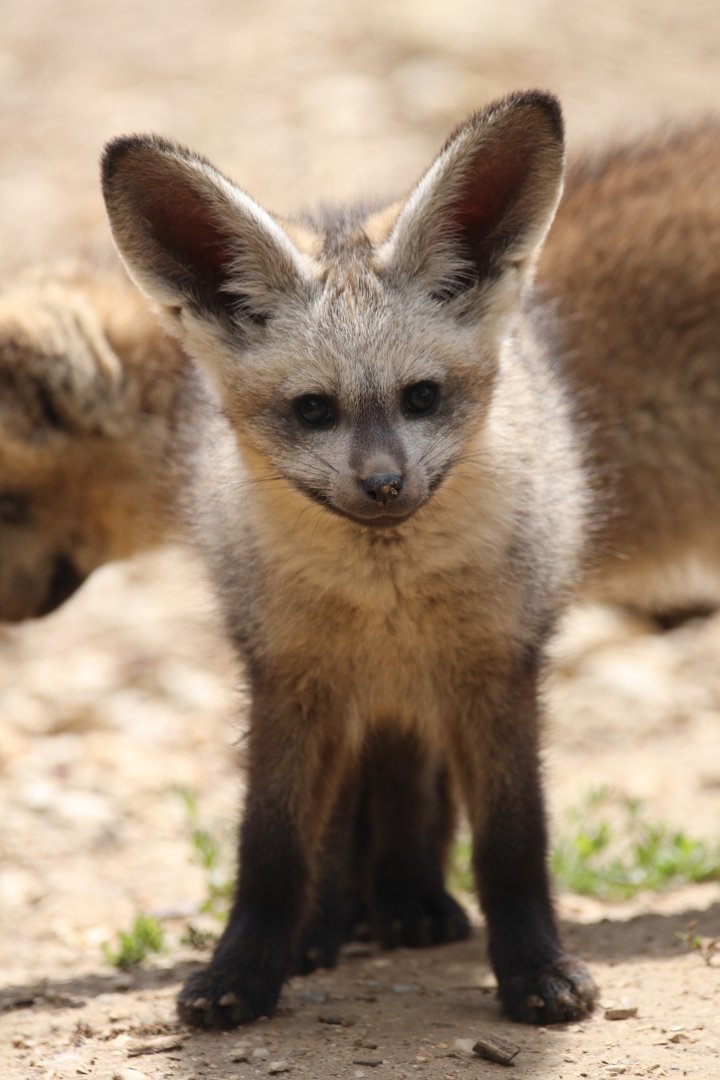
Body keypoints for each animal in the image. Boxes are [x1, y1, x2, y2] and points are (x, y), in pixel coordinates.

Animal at [100, 90, 720, 1030]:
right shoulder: (288, 677)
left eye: (422, 397)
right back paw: (333, 926)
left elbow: (511, 843)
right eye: (313, 410)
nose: (385, 485)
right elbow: (273, 847)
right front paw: (244, 970)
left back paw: (412, 904)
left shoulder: (495, 669)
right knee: (348, 813)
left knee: (409, 793)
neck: (385, 599)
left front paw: (536, 970)